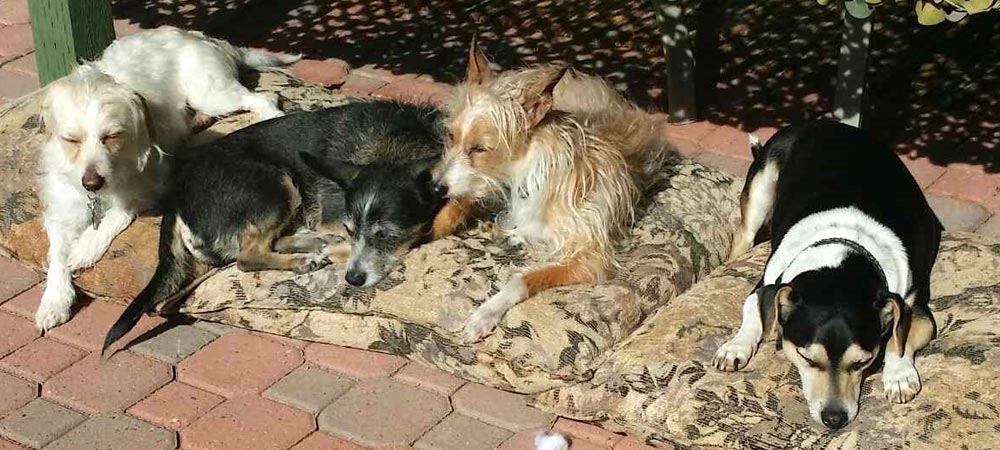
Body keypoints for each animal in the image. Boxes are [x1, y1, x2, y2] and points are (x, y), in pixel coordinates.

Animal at [36, 27, 300, 330]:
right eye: (71, 139)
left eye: (112, 136)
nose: (92, 183)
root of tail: (205, 38)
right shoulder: (63, 204)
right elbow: (57, 252)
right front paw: (54, 300)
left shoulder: (153, 183)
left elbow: (118, 213)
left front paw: (87, 246)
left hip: (211, 94)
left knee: (265, 98)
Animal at [101, 100, 446, 354]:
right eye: (351, 229)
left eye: (387, 234)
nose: (353, 280)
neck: (394, 145)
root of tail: (177, 195)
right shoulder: (334, 216)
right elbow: (346, 243)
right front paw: (334, 249)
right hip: (276, 183)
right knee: (247, 256)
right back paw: (303, 259)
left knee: (272, 241)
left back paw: (309, 245)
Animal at [432, 40, 680, 342]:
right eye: (451, 136)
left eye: (479, 148)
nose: (435, 185)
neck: (522, 176)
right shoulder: (482, 185)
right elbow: (454, 208)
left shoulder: (591, 257)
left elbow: (522, 279)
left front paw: (486, 312)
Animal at [716, 119, 940, 428]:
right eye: (807, 359)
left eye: (862, 362)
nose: (835, 419)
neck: (841, 250)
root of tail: (819, 122)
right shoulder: (765, 285)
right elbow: (753, 310)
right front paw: (736, 346)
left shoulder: (914, 306)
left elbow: (901, 336)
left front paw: (898, 375)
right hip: (762, 184)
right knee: (744, 234)